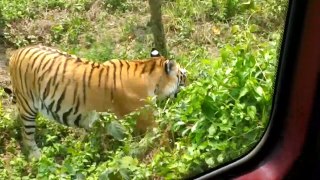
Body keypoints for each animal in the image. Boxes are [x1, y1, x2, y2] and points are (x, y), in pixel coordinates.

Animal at [5, 44, 188, 160]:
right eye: (182, 74)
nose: (190, 77)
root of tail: (17, 52)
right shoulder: (147, 119)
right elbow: (159, 132)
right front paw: (139, 151)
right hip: (28, 105)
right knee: (26, 134)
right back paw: (36, 156)